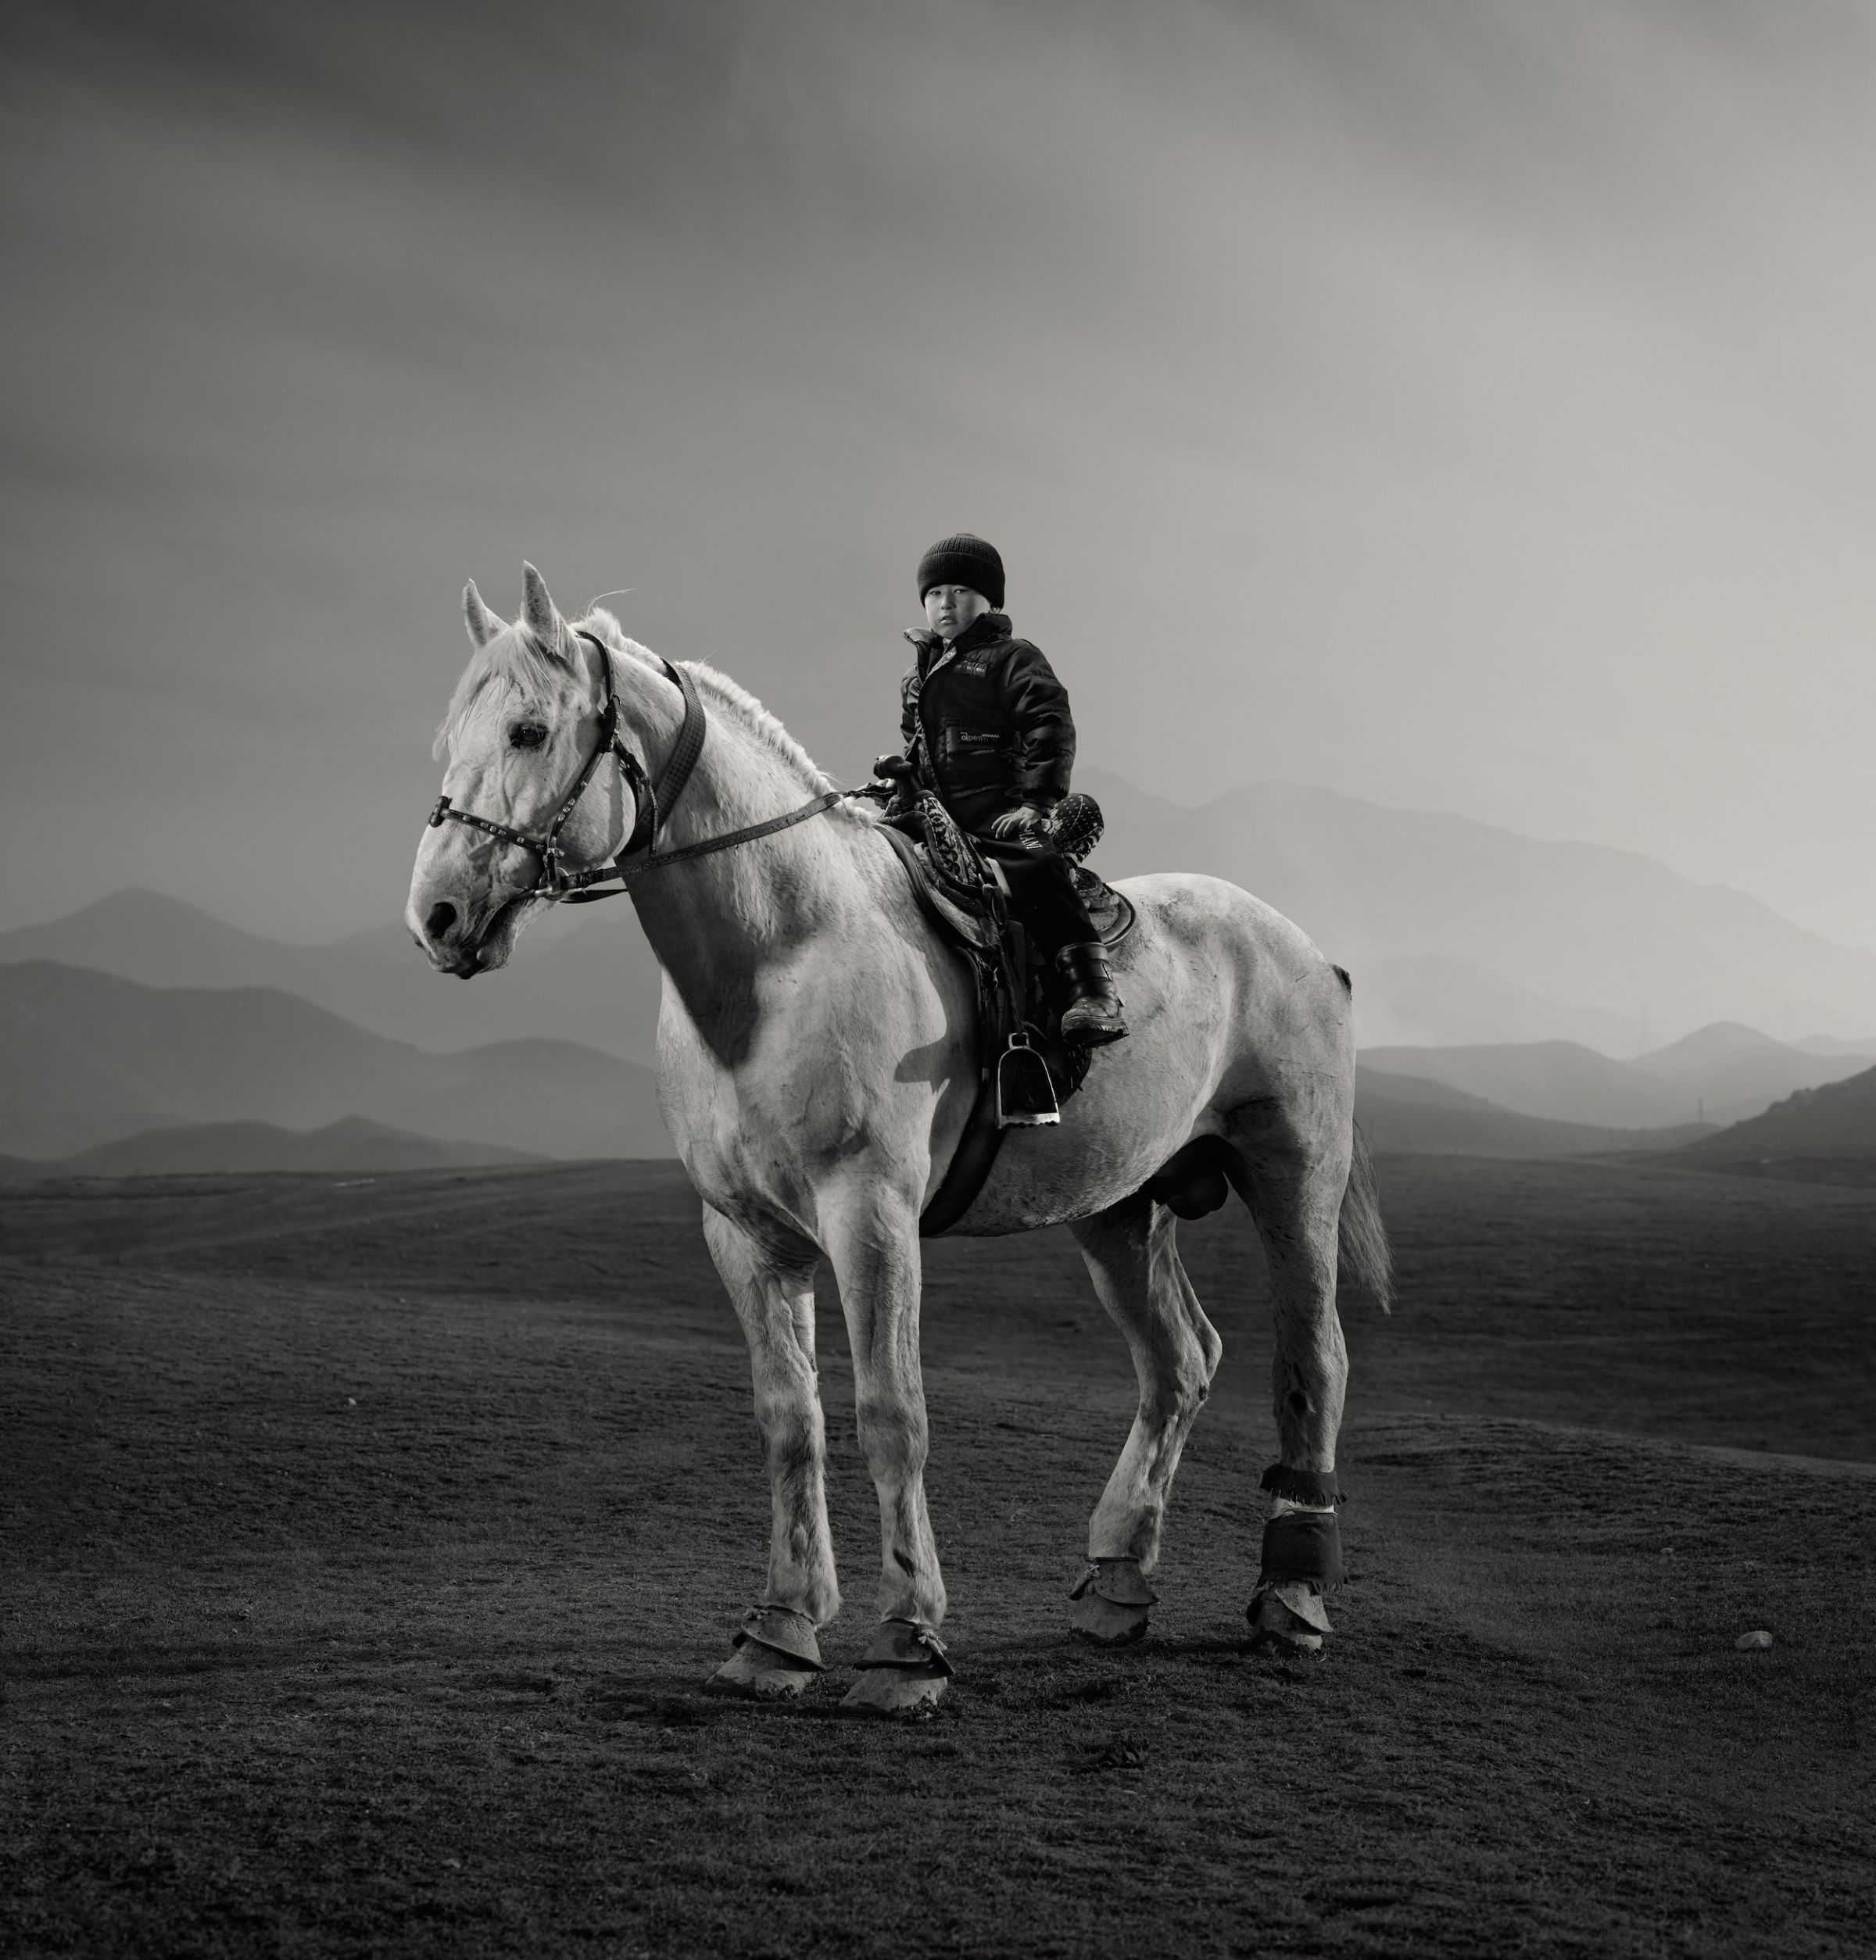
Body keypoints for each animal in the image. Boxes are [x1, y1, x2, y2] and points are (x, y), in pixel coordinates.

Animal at [406, 564, 1391, 1715]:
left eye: (527, 730)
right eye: (454, 735)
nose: (437, 914)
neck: (780, 953)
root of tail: (1305, 949)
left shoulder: (869, 1215)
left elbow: (891, 1413)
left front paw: (907, 1645)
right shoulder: (746, 1237)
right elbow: (790, 1422)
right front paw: (780, 1633)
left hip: (1294, 1177)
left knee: (1312, 1362)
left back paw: (1294, 1601)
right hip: (1120, 1211)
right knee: (1180, 1363)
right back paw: (1116, 1586)